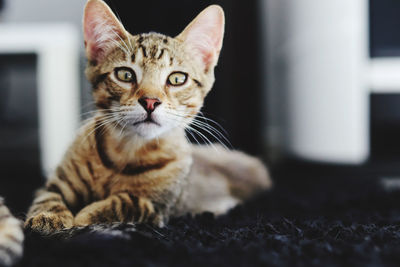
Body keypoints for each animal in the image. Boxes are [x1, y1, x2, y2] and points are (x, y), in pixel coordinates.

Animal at [23, 0, 270, 234]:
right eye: (125, 74)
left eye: (177, 79)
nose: (150, 101)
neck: (126, 151)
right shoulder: (56, 183)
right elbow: (48, 196)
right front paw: (48, 216)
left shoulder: (158, 207)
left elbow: (124, 203)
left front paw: (86, 215)